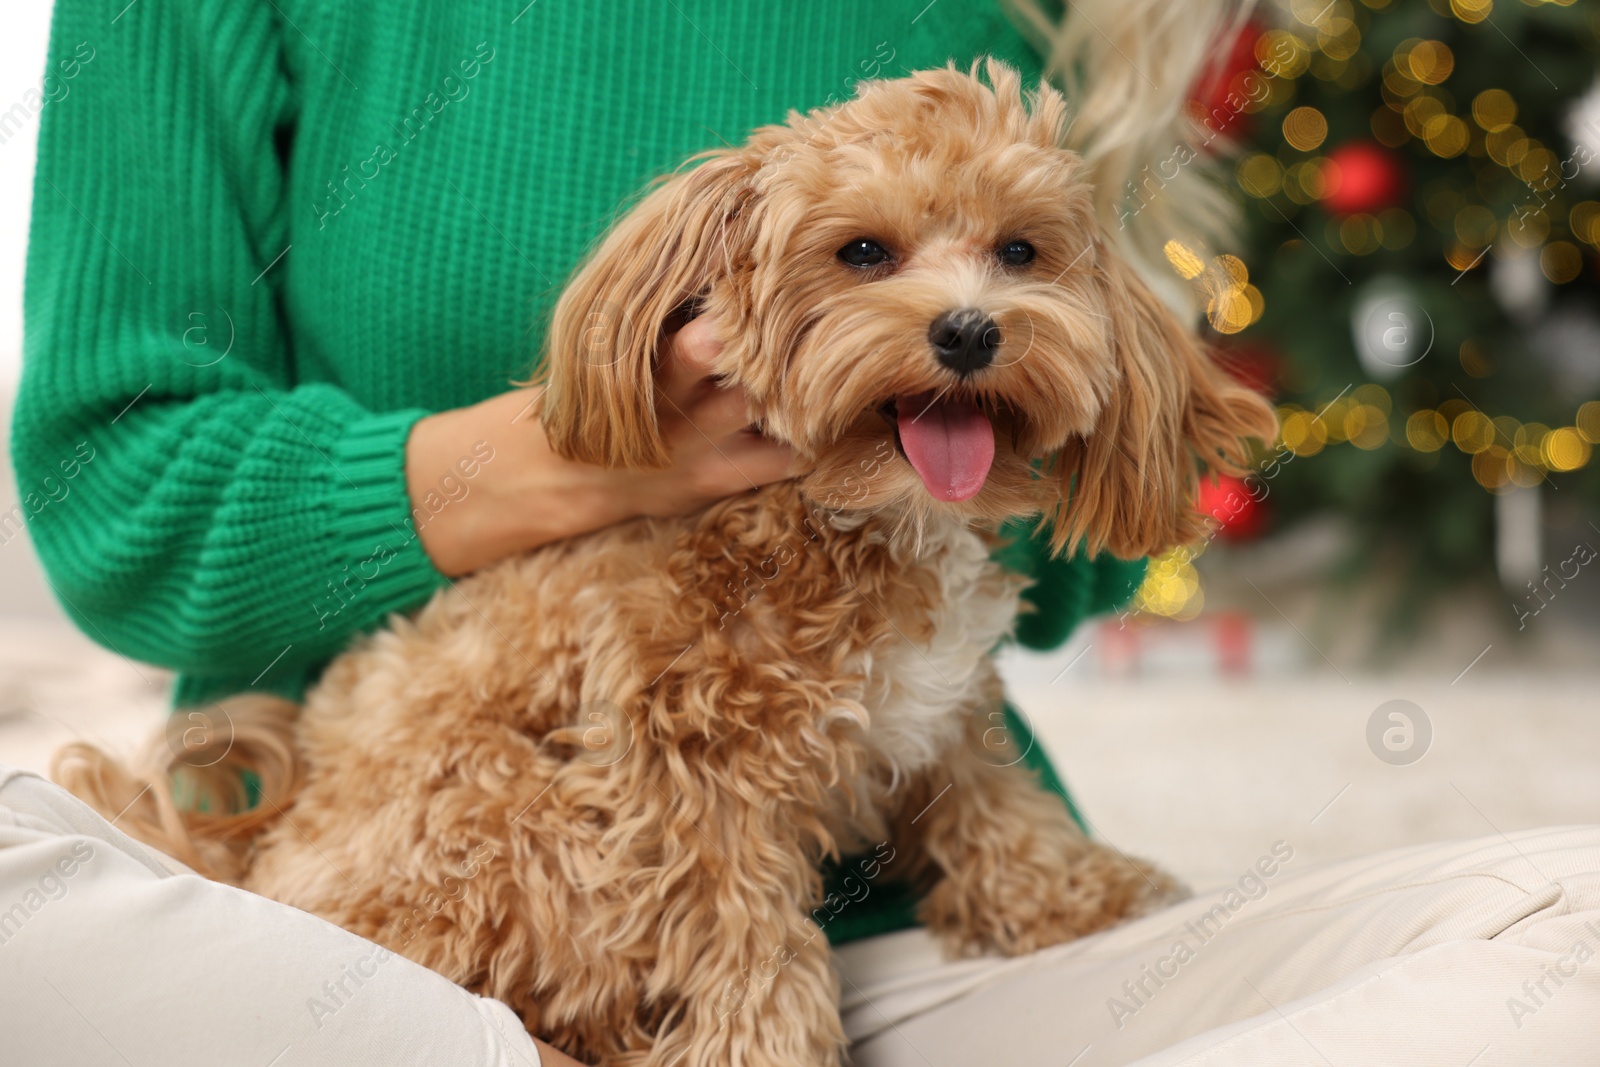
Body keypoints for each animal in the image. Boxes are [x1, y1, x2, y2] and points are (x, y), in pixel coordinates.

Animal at [59, 64, 1273, 1067]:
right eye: (863, 253)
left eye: (1020, 251)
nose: (970, 330)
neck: (855, 515)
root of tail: (255, 861)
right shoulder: (683, 761)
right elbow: (739, 934)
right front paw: (762, 1048)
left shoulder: (942, 703)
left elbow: (990, 800)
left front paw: (1075, 891)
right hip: (505, 821)